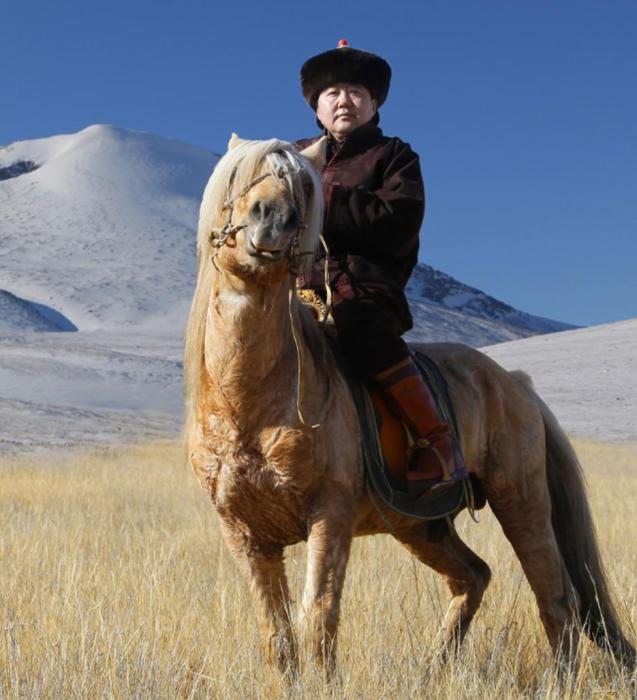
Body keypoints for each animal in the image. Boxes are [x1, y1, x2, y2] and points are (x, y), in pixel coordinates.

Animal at [184, 134, 635, 678]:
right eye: (240, 175)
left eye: (305, 187)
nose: (273, 218)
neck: (248, 404)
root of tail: (515, 384)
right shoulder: (243, 533)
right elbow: (278, 635)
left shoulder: (329, 514)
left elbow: (318, 617)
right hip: (420, 525)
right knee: (474, 576)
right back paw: (433, 667)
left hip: (521, 500)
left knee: (555, 596)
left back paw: (557, 679)